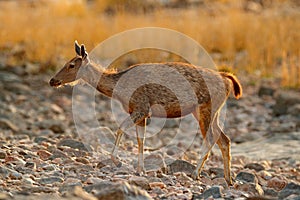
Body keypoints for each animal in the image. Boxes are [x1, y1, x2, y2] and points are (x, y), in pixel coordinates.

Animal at [49, 41, 241, 186]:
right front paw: (140, 169)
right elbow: (140, 140)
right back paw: (228, 179)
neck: (119, 90)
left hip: (207, 107)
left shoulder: (141, 107)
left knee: (211, 138)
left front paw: (118, 161)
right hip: (209, 111)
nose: (52, 80)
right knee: (224, 139)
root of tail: (227, 80)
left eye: (71, 65)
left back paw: (195, 173)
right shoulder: (140, 113)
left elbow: (121, 128)